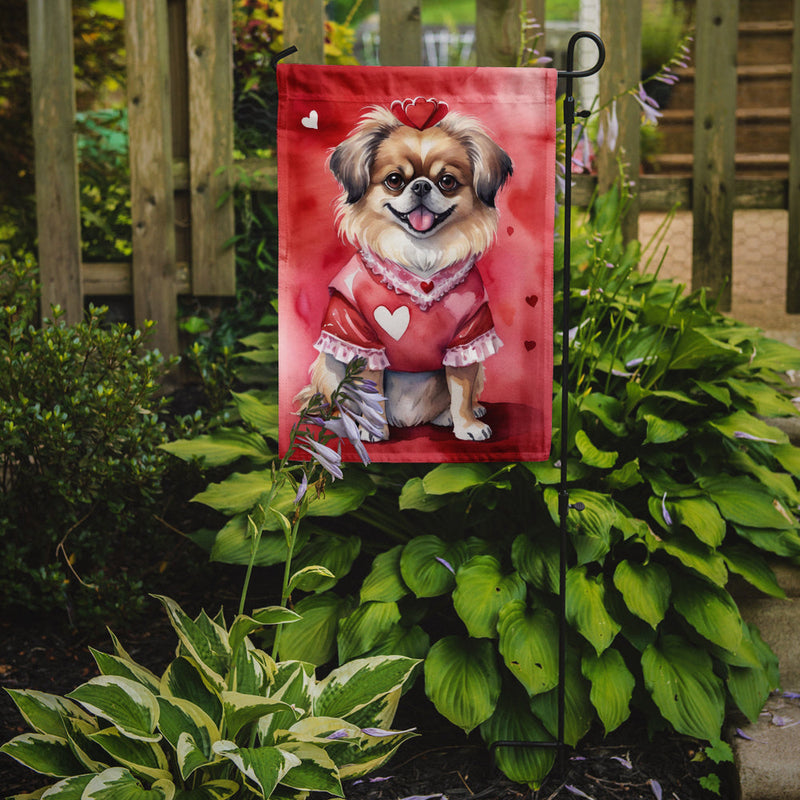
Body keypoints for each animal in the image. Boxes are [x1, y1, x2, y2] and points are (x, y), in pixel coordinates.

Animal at [298, 100, 512, 444]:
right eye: (395, 179)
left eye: (447, 181)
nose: (422, 185)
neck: (421, 262)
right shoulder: (361, 339)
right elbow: (371, 393)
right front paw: (374, 430)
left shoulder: (468, 337)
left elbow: (461, 389)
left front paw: (467, 425)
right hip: (328, 367)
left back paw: (455, 415)